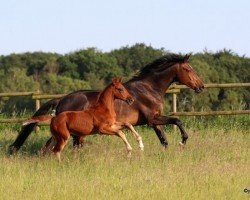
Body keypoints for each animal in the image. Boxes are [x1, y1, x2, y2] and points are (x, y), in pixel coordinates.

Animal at [8, 52, 204, 154]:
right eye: (188, 69)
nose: (201, 86)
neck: (149, 88)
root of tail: (62, 99)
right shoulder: (152, 119)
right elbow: (178, 120)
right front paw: (183, 141)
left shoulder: (154, 121)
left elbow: (164, 140)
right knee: (52, 147)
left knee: (51, 146)